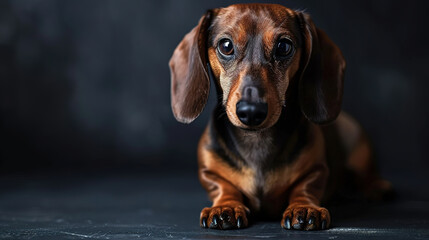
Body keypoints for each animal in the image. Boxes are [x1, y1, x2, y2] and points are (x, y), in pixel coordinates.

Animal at [167, 3, 392, 231]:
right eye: (226, 46)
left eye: (283, 47)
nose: (251, 111)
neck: (257, 142)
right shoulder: (209, 171)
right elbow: (222, 185)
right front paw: (226, 206)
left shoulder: (317, 169)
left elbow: (306, 187)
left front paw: (304, 207)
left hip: (359, 147)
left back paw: (377, 187)